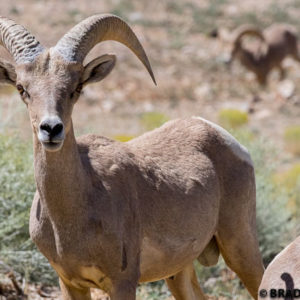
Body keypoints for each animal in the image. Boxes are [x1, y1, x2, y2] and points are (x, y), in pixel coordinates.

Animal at [0, 15, 264, 300]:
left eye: (76, 87)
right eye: (22, 88)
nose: (51, 129)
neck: (71, 216)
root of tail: (225, 138)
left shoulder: (123, 282)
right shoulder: (70, 283)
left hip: (241, 247)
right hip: (179, 273)